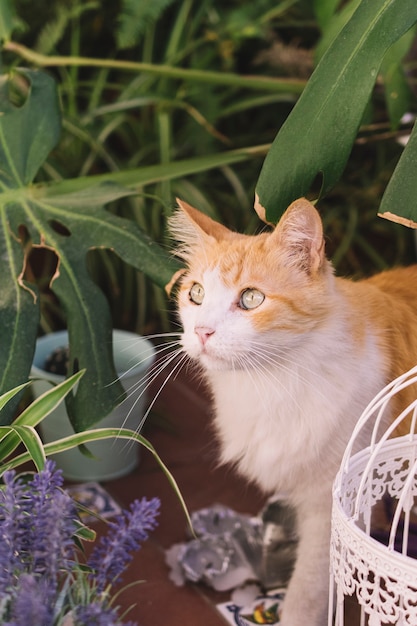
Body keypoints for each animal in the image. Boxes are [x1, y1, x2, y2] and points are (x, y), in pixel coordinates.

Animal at [167, 196, 416, 624]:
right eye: (195, 294)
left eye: (251, 299)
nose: (201, 332)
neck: (270, 381)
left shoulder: (328, 503)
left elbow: (307, 588)